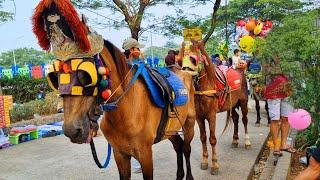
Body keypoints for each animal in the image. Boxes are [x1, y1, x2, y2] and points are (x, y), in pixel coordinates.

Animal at [33, 0, 198, 179]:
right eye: (55, 77)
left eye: (86, 75)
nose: (72, 130)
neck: (126, 109)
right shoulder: (120, 154)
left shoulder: (145, 154)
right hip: (170, 129)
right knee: (178, 145)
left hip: (188, 123)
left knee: (186, 148)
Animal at [182, 43, 250, 175]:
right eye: (182, 57)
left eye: (194, 58)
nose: (185, 72)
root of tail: (240, 70)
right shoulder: (199, 117)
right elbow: (203, 138)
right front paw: (204, 161)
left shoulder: (211, 115)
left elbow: (212, 139)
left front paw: (214, 165)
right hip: (231, 104)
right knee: (235, 118)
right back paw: (235, 140)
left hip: (243, 101)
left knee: (244, 119)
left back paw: (247, 142)